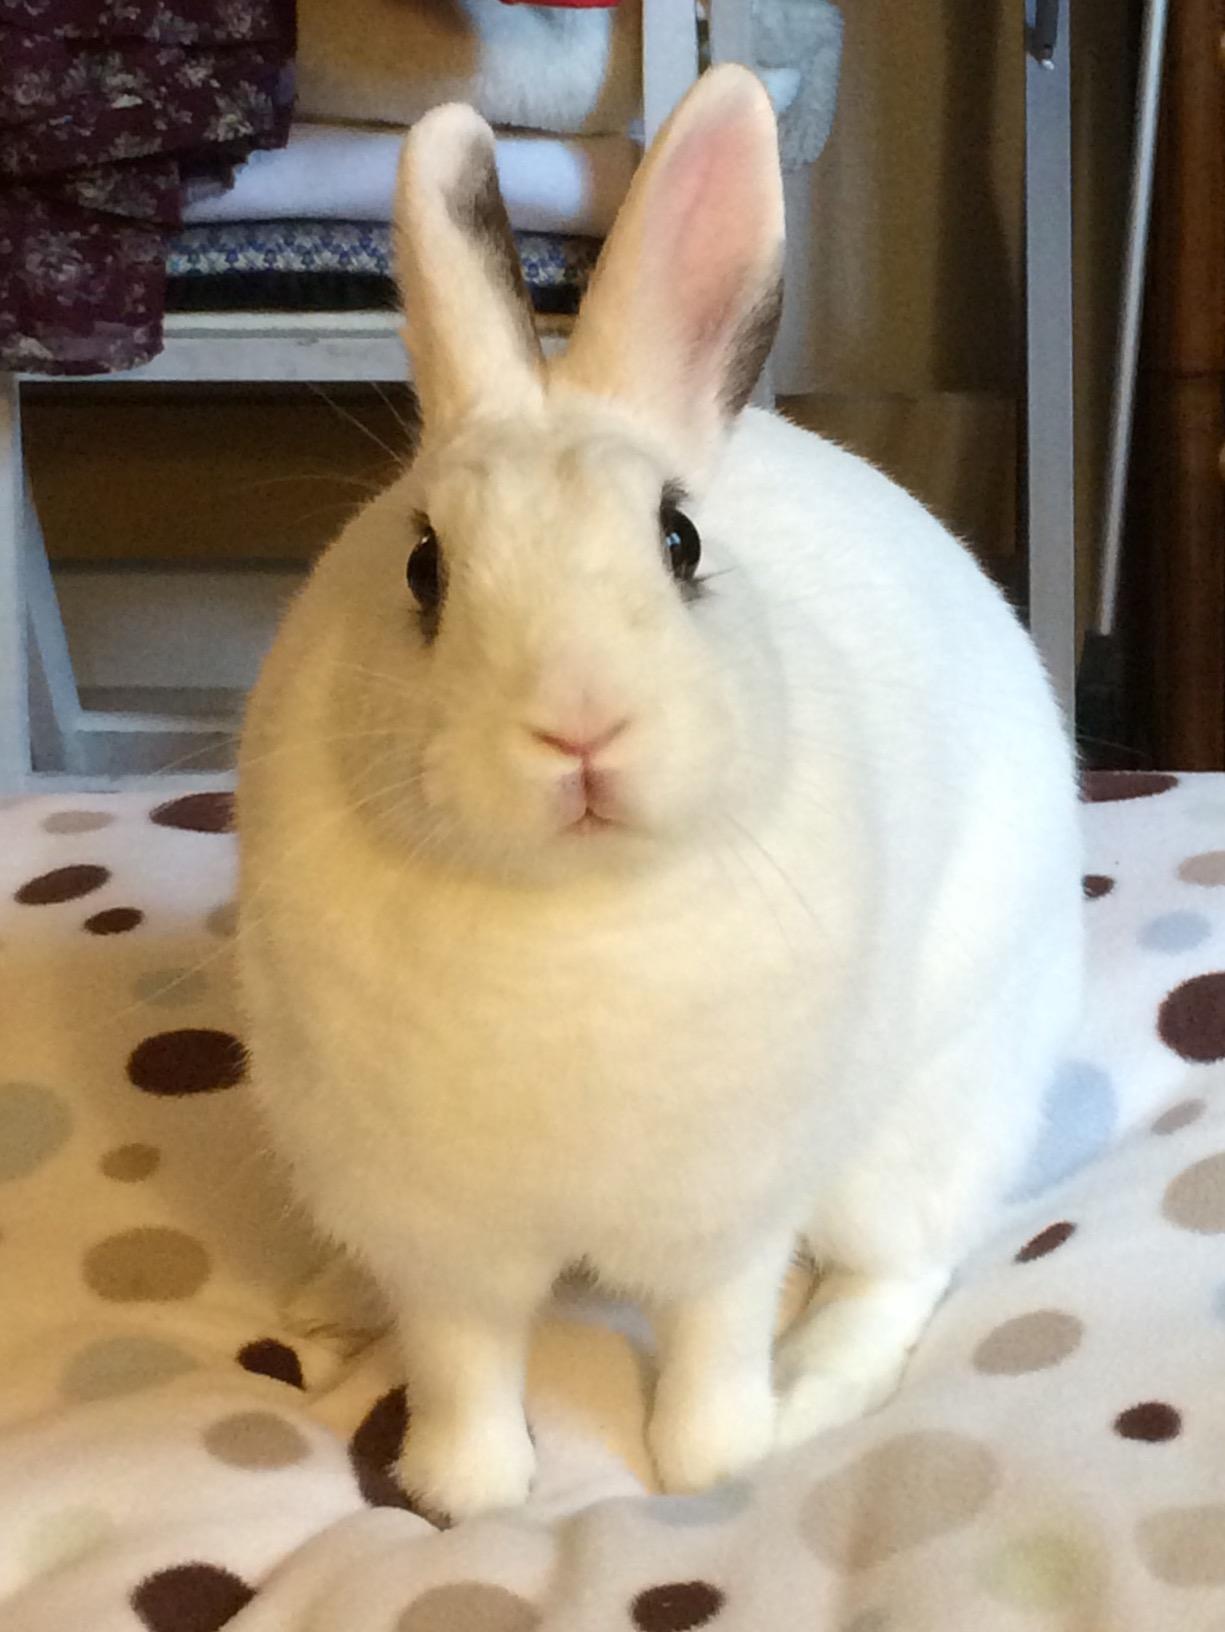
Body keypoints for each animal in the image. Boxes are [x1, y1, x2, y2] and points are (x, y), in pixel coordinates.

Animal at [236, 63, 1084, 1523]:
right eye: (422, 569)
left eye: (680, 540)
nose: (579, 724)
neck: (573, 916)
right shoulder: (439, 1240)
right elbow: (461, 1364)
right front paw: (466, 1497)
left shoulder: (724, 1218)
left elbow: (709, 1340)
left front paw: (714, 1466)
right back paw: (325, 1314)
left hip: (917, 1117)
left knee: (897, 1267)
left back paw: (813, 1395)